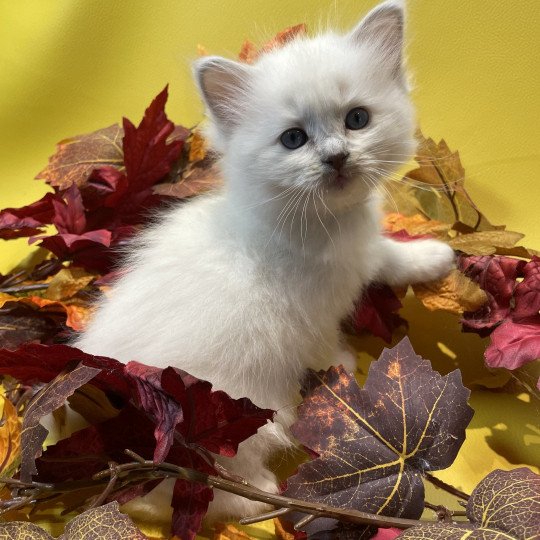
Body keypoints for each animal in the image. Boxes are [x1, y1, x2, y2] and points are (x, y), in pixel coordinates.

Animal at [75, 0, 456, 524]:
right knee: (199, 487)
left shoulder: (361, 253)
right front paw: (341, 365)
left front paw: (434, 258)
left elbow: (387, 254)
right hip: (235, 415)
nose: (337, 157)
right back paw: (264, 499)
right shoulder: (312, 315)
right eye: (293, 139)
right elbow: (325, 344)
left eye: (357, 119)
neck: (322, 223)